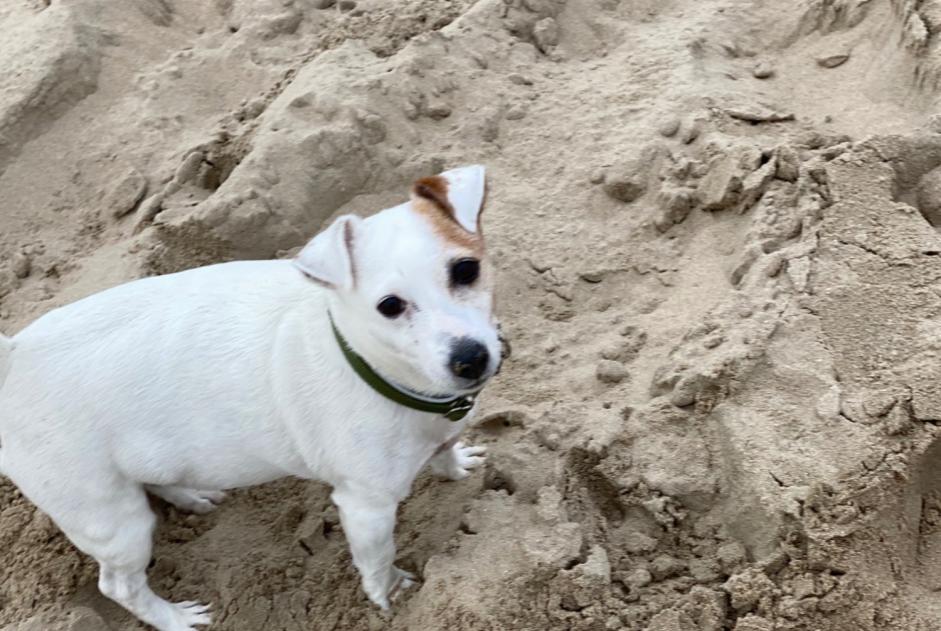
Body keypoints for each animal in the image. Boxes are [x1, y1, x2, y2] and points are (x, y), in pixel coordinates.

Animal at [0, 167, 500, 631]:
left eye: (466, 270)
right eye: (390, 306)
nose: (471, 359)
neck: (369, 363)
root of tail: (15, 355)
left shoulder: (441, 430)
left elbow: (446, 451)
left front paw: (457, 466)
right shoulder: (366, 508)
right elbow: (378, 562)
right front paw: (390, 596)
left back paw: (191, 494)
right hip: (112, 520)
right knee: (119, 585)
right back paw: (173, 618)